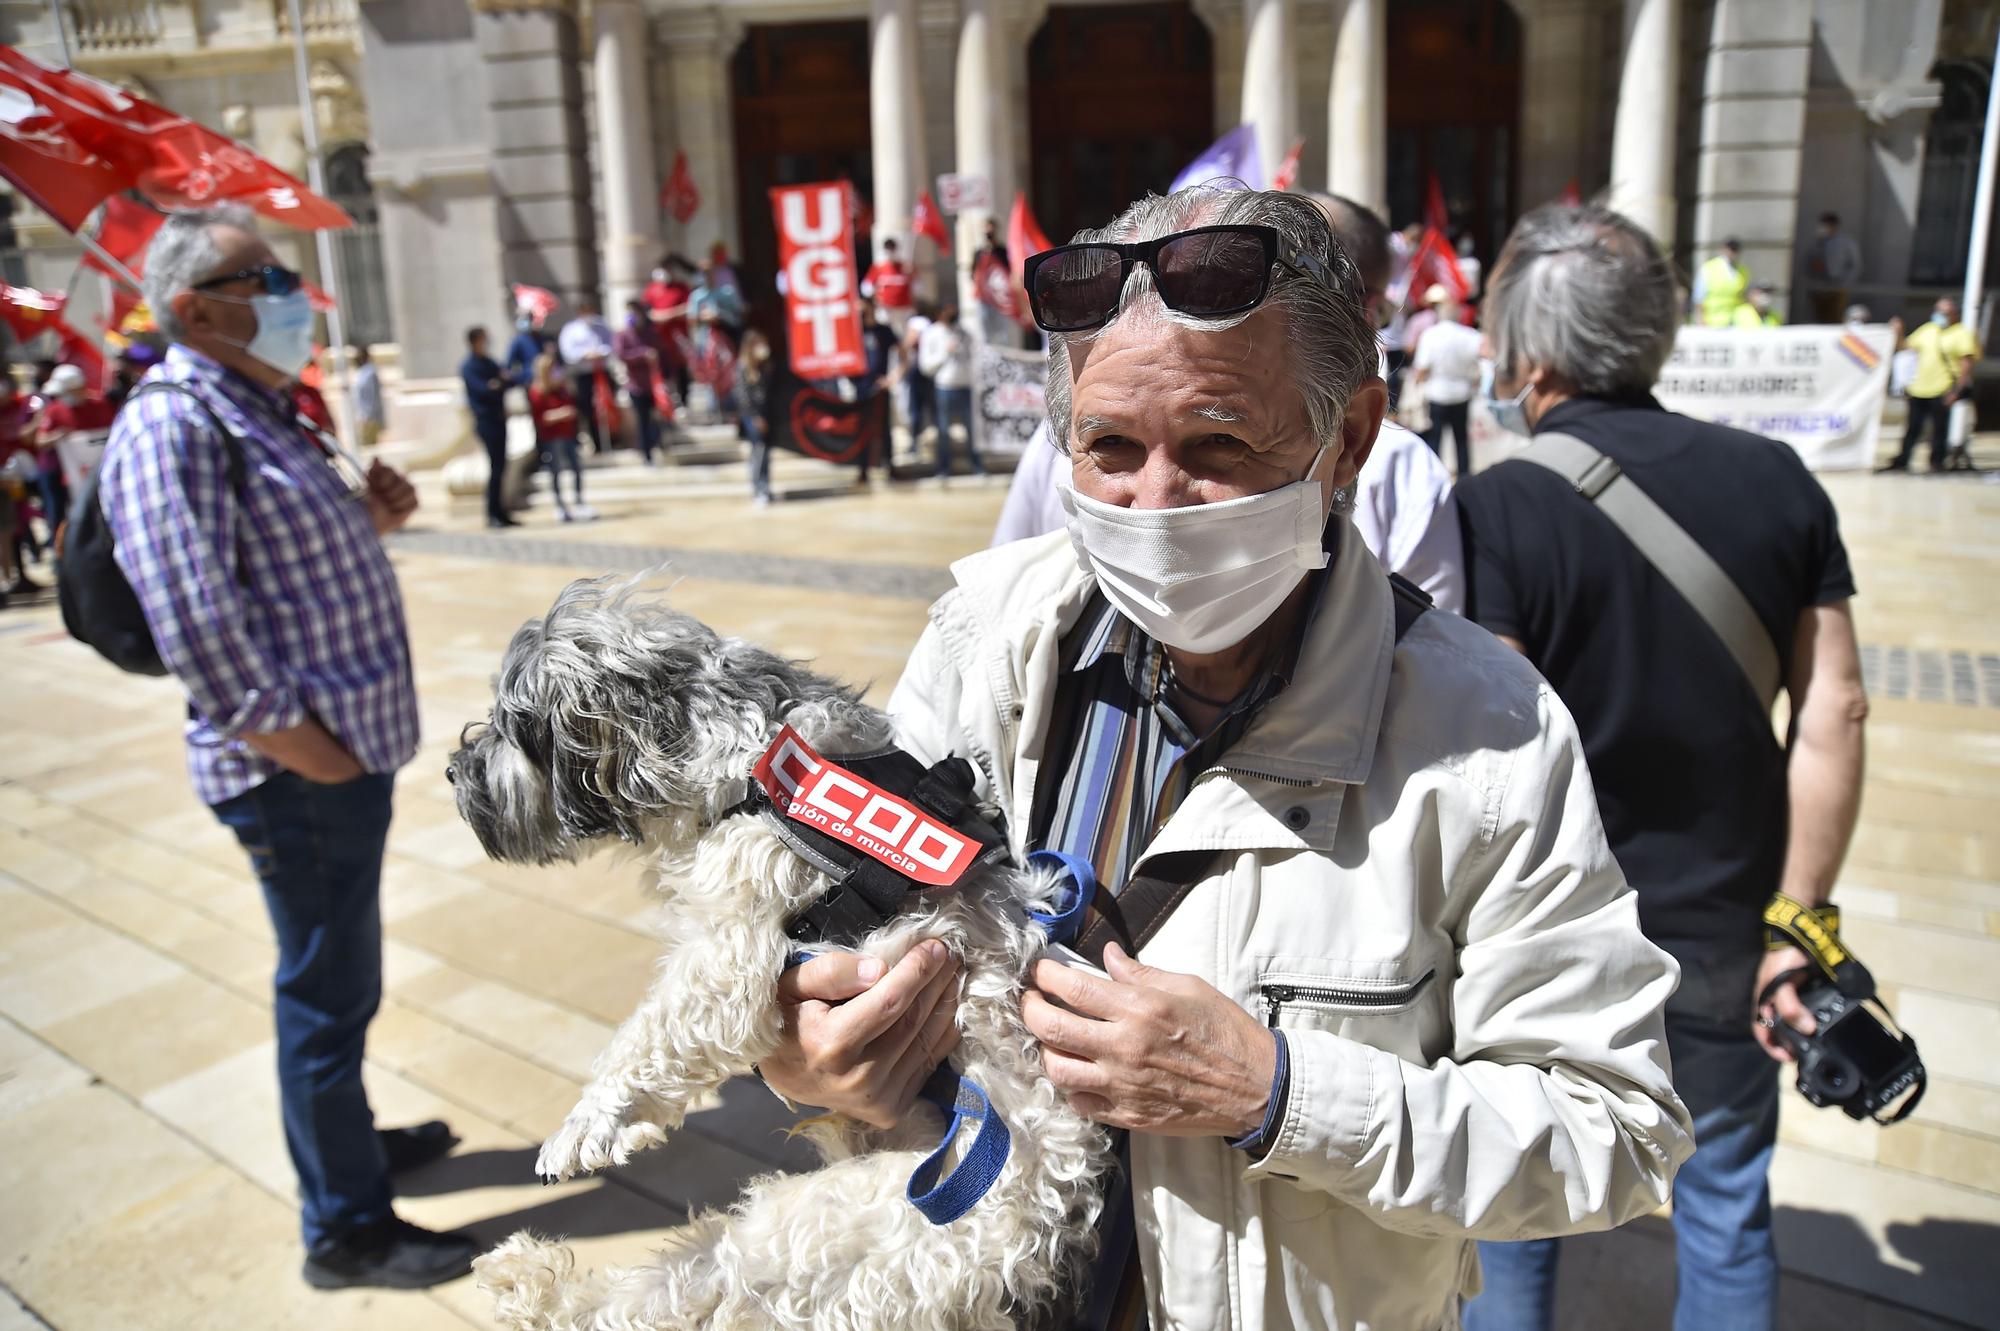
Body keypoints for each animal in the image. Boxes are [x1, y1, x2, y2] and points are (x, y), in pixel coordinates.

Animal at [444, 579, 1120, 1327]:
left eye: (506, 726)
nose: (448, 769)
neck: (751, 772)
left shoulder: (734, 946)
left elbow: (651, 1035)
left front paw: (590, 1120)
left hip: (807, 1242)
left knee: (672, 1299)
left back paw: (528, 1281)